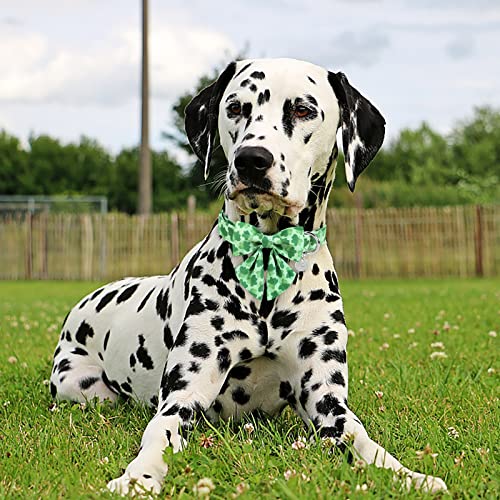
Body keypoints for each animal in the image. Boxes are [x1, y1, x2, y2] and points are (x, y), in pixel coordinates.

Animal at [50, 57, 448, 492]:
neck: (268, 261)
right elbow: (159, 432)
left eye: (303, 110)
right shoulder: (182, 397)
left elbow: (362, 439)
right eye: (236, 107)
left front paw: (407, 475)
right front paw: (138, 476)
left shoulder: (326, 399)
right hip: (81, 386)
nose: (251, 160)